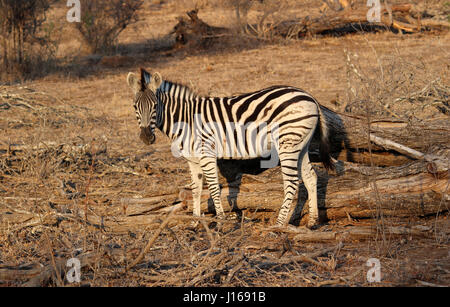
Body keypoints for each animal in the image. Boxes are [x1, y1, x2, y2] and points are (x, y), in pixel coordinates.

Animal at [126, 69, 334, 229]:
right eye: (135, 106)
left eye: (155, 106)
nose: (146, 138)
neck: (186, 119)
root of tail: (309, 96)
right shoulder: (193, 160)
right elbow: (196, 190)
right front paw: (195, 222)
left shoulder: (207, 154)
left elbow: (214, 188)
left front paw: (220, 222)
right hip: (300, 145)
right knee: (310, 177)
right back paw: (313, 222)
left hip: (288, 144)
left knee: (291, 182)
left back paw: (279, 224)